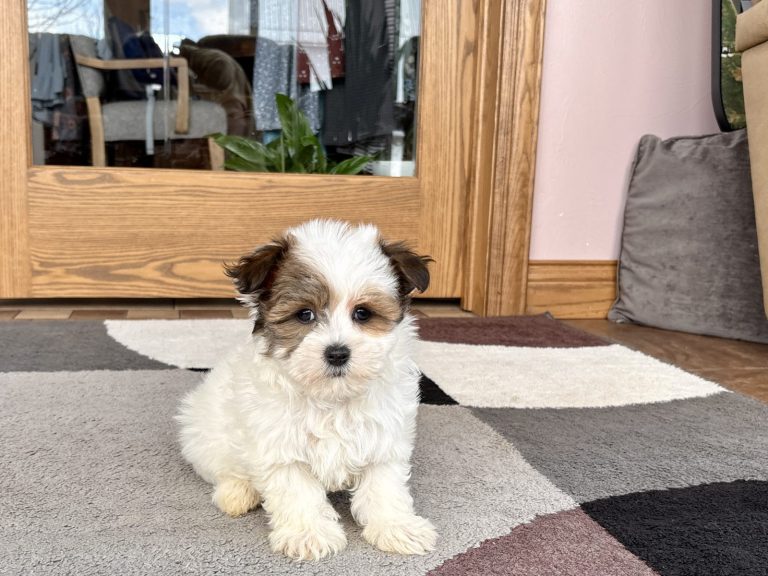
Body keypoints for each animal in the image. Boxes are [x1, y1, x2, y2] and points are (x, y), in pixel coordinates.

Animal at [177, 220, 437, 561]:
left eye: (363, 313)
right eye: (305, 314)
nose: (337, 353)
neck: (331, 397)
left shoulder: (384, 437)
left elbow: (384, 485)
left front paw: (396, 527)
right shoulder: (280, 446)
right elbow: (297, 491)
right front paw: (308, 534)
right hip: (203, 434)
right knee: (223, 468)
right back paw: (237, 493)